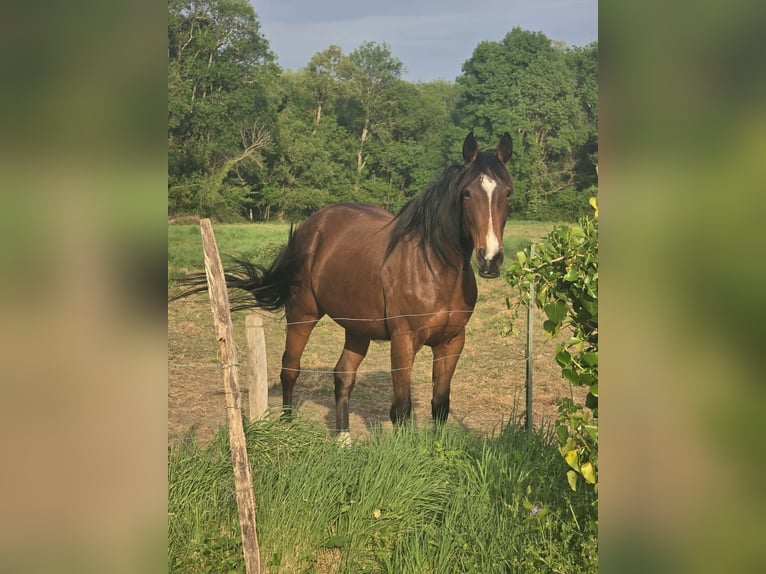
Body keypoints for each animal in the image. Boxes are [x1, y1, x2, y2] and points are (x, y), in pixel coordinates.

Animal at [177, 132, 514, 440]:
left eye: (508, 193)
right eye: (467, 193)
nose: (490, 259)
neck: (435, 268)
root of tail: (310, 227)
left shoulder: (452, 341)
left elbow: (440, 404)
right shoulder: (404, 341)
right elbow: (401, 408)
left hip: (357, 327)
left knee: (343, 374)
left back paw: (342, 438)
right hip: (302, 314)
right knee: (290, 369)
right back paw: (287, 426)